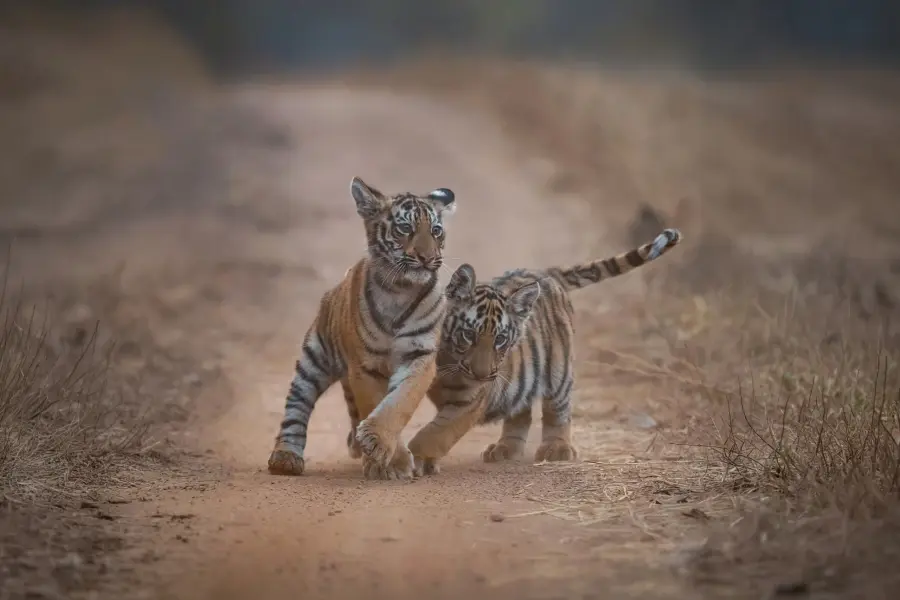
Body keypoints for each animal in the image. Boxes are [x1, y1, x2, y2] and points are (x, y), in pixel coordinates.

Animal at [267, 176, 457, 480]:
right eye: (405, 228)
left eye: (436, 231)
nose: (428, 258)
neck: (399, 289)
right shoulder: (364, 365)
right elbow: (374, 401)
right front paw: (391, 461)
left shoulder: (420, 357)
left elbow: (400, 402)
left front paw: (378, 445)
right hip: (314, 359)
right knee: (296, 406)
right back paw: (286, 457)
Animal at [403, 228, 683, 475]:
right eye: (469, 334)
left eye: (500, 339)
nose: (482, 375)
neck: (448, 362)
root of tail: (544, 273)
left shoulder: (470, 400)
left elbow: (436, 432)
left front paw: (415, 458)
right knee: (520, 411)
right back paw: (506, 448)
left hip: (559, 374)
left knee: (557, 412)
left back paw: (556, 448)